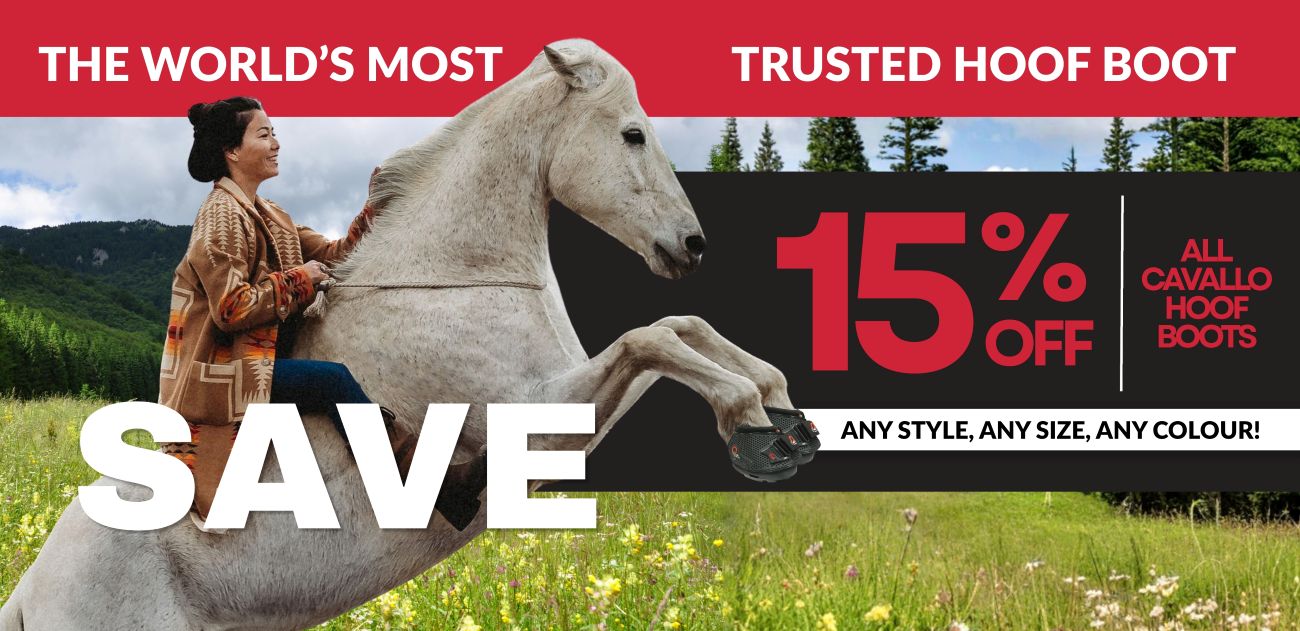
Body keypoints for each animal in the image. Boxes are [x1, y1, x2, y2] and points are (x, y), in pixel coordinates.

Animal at [1, 39, 795, 630]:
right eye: (632, 133)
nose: (691, 246)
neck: (450, 281)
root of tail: (30, 592)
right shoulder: (537, 414)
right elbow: (647, 340)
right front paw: (752, 427)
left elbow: (676, 326)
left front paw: (784, 411)